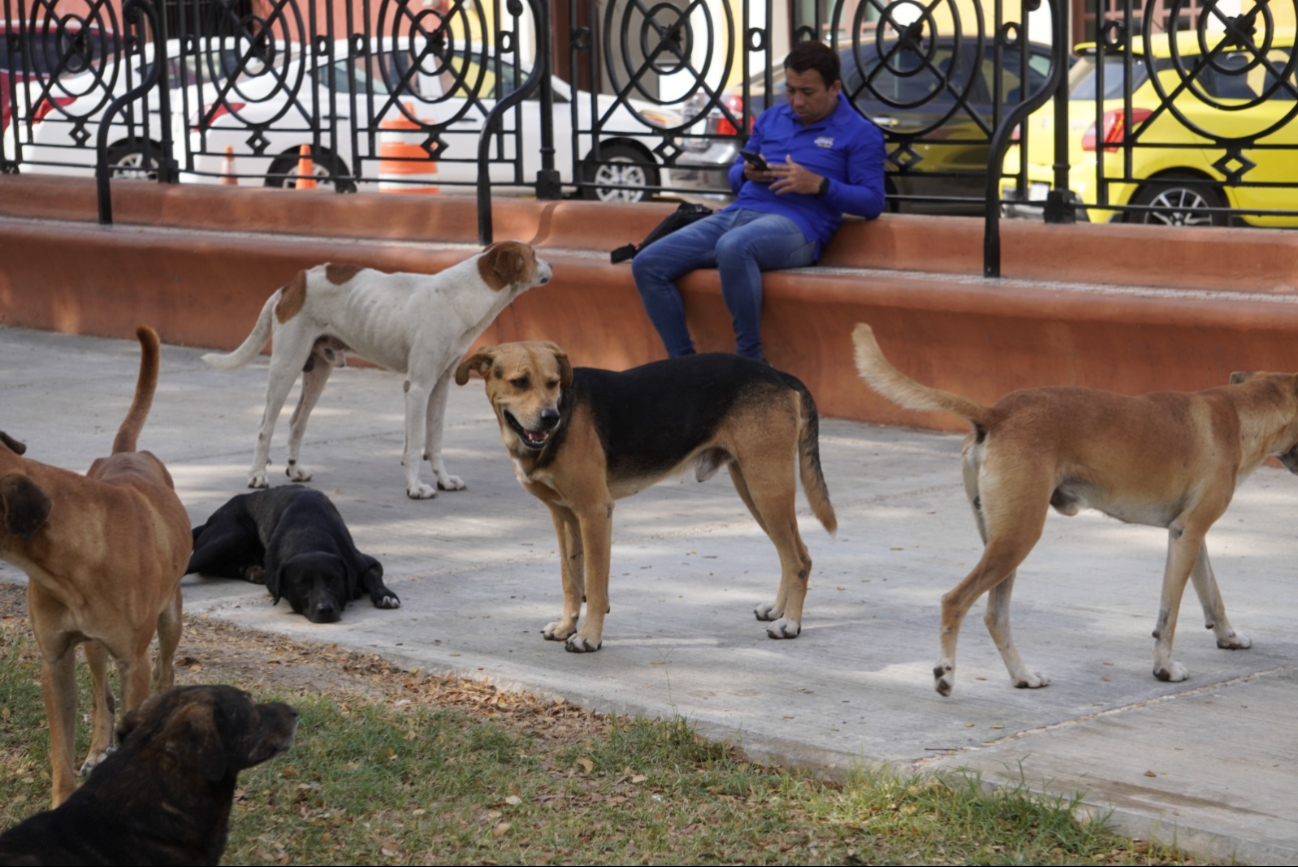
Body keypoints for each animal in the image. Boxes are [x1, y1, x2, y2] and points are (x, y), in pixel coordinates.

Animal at [0, 327, 190, 804]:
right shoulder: (55, 660)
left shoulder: (134, 663)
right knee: (100, 694)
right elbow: (61, 749)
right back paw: (98, 748)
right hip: (92, 645)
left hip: (170, 619)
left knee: (167, 669)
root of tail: (127, 451)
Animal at [185, 488, 391, 622]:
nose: (325, 609)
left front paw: (385, 595)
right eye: (301, 585)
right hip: (233, 534)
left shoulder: (364, 563)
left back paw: (253, 572)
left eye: (334, 580)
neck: (309, 537)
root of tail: (209, 520)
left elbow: (373, 575)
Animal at [456, 342, 841, 654]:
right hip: (753, 488)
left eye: (553, 383)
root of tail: (778, 374)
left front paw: (589, 637)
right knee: (790, 554)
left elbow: (594, 585)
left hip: (767, 485)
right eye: (519, 382)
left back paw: (790, 624)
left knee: (799, 558)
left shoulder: (594, 512)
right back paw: (778, 610)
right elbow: (571, 580)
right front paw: (567, 626)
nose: (551, 418)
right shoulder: (563, 515)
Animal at [851, 321, 1298, 695]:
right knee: (955, 600)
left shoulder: (1189, 533)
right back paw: (946, 674)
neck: (1240, 414)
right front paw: (1164, 668)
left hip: (1003, 541)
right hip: (1019, 537)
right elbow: (1168, 615)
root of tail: (996, 413)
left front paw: (1227, 636)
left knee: (996, 616)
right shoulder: (1188, 533)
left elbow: (1211, 593)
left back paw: (1022, 676)